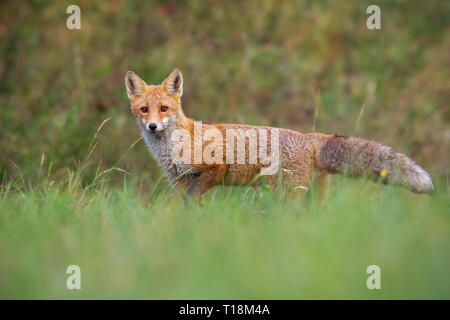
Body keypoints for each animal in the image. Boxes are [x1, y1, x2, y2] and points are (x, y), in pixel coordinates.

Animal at [124, 68, 432, 198]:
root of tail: (311, 137)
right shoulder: (178, 182)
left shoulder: (215, 168)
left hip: (284, 195)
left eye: (164, 109)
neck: (172, 147)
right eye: (144, 110)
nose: (153, 126)